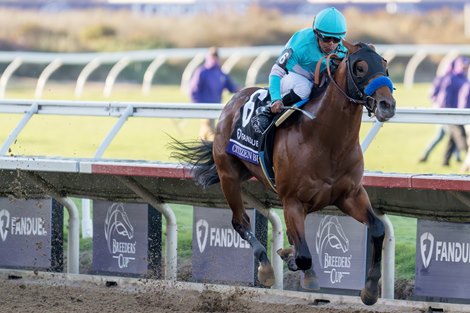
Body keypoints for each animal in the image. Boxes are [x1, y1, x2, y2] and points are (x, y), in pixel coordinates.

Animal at [171, 39, 394, 304]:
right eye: (360, 68)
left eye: (384, 65)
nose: (387, 105)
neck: (326, 140)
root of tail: (233, 100)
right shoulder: (292, 201)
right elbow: (304, 255)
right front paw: (296, 263)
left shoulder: (349, 195)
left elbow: (378, 229)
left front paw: (370, 289)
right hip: (229, 176)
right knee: (240, 222)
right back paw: (266, 269)